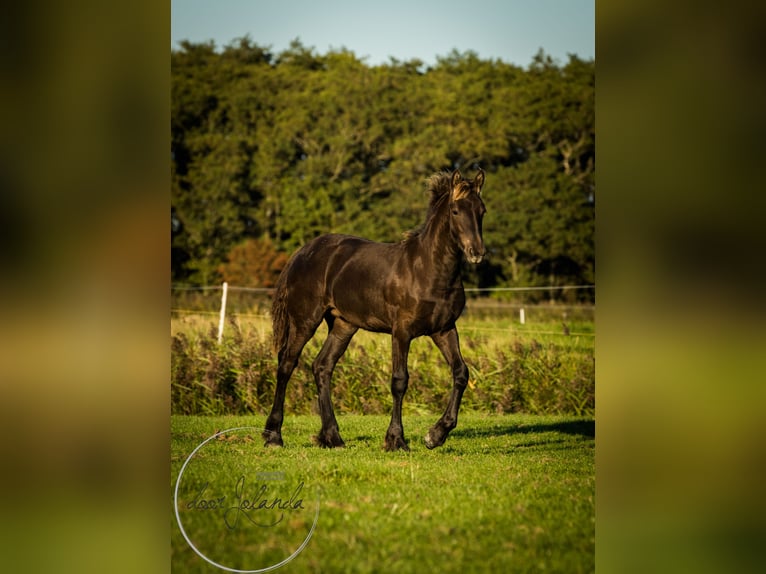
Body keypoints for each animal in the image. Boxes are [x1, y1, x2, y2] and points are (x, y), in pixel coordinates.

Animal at [268, 169, 488, 452]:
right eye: (455, 210)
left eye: (481, 210)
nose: (477, 252)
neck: (427, 271)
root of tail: (302, 253)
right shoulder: (402, 332)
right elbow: (399, 381)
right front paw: (396, 439)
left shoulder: (444, 329)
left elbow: (461, 373)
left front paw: (435, 435)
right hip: (305, 320)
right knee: (287, 363)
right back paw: (273, 435)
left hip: (343, 325)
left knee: (322, 366)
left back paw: (332, 437)